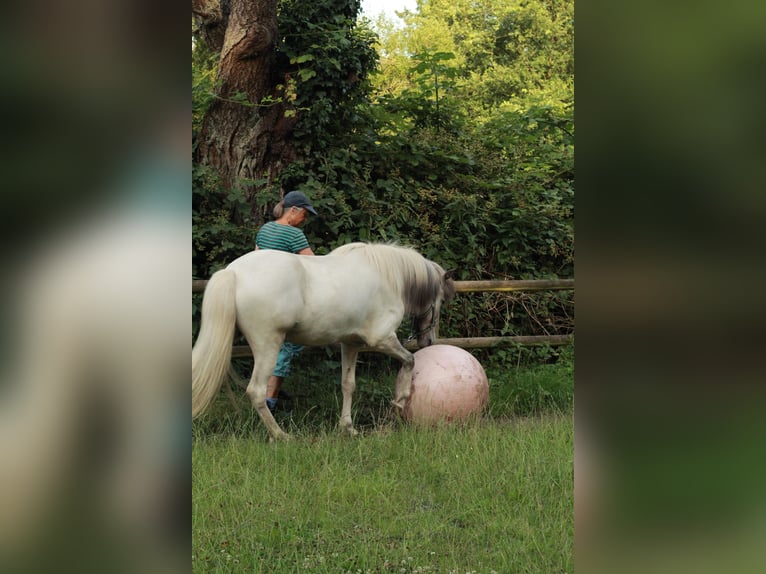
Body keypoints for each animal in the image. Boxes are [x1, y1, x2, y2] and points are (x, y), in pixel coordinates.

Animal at [192, 243, 456, 440]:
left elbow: (348, 384)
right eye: (441, 300)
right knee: (256, 391)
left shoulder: (351, 344)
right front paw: (400, 402)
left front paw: (348, 427)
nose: (428, 340)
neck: (388, 276)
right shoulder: (381, 339)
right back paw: (281, 435)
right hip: (268, 346)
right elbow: (410, 361)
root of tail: (233, 272)